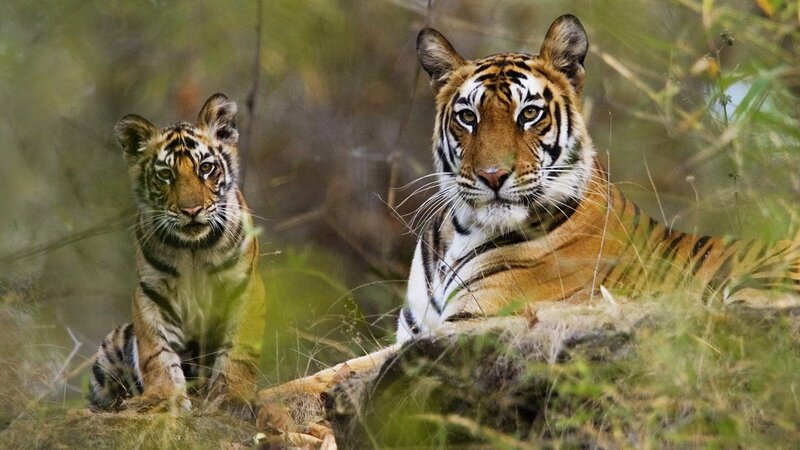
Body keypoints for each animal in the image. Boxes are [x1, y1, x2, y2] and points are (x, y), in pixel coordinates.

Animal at [88, 93, 265, 415]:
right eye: (165, 174)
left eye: (205, 168)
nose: (191, 210)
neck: (194, 249)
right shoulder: (151, 293)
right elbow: (156, 353)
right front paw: (163, 399)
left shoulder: (245, 288)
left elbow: (239, 353)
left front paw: (232, 399)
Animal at [257, 14, 800, 420]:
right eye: (468, 117)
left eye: (529, 114)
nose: (494, 175)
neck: (460, 230)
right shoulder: (415, 333)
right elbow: (317, 374)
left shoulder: (467, 327)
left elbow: (341, 376)